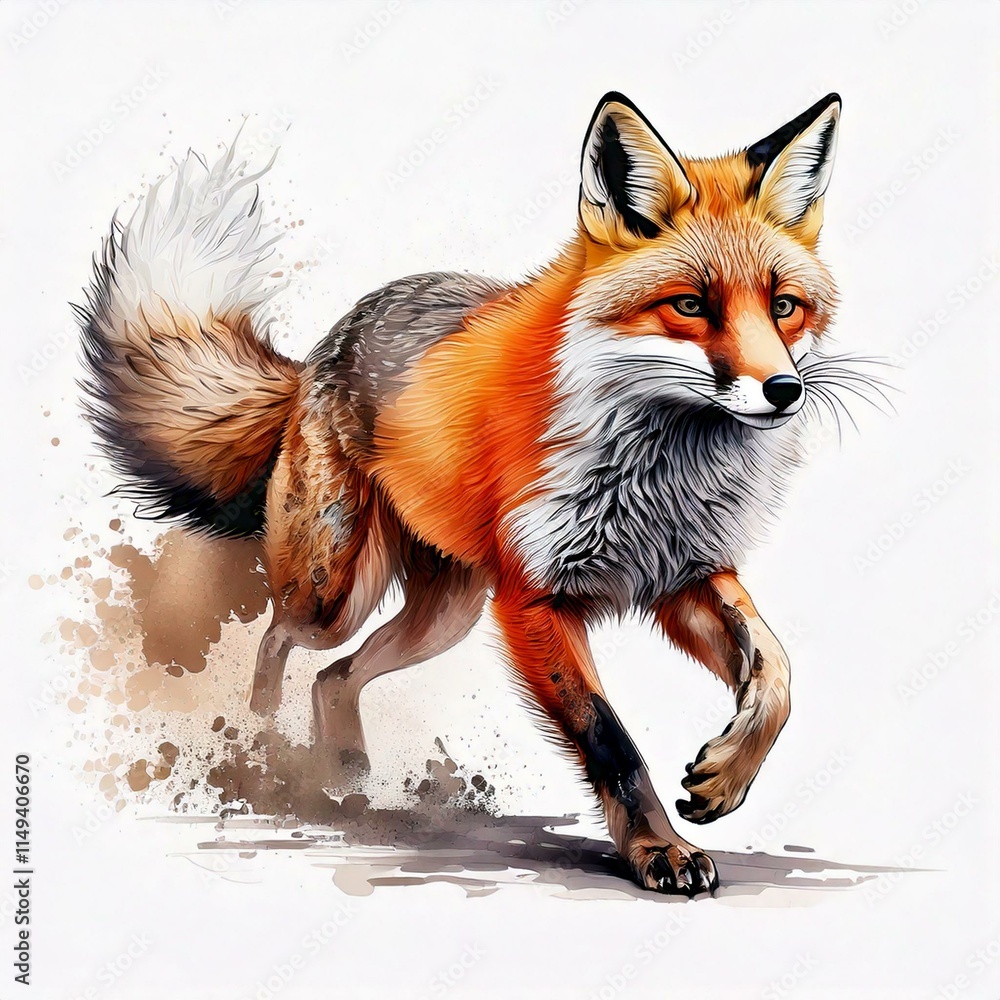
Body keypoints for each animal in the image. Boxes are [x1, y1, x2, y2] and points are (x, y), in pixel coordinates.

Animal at [77, 91, 854, 896]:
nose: (784, 389)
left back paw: (342, 773)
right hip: (338, 590)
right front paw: (656, 849)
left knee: (333, 677)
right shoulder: (534, 600)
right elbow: (612, 743)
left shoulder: (685, 574)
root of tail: (319, 352)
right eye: (692, 306)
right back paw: (263, 749)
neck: (659, 473)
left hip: (444, 615)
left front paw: (724, 779)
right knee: (278, 637)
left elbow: (777, 675)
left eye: (785, 307)